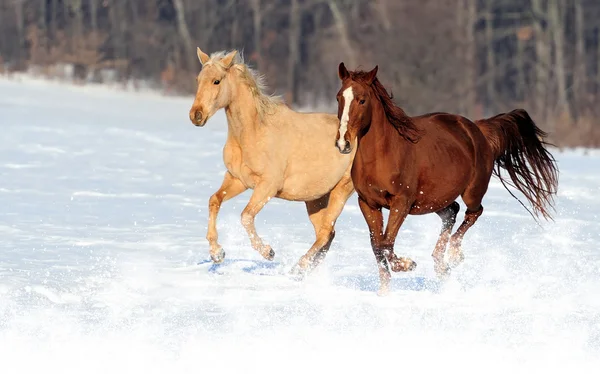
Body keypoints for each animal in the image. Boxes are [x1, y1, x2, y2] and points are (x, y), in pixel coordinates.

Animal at [189, 47, 356, 274]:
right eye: (198, 79)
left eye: (217, 81)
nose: (196, 115)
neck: (253, 132)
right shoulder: (237, 180)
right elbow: (214, 201)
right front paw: (217, 253)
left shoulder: (268, 186)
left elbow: (246, 216)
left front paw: (268, 252)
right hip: (316, 199)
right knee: (327, 235)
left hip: (342, 189)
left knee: (324, 233)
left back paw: (297, 269)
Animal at [332, 62, 556, 296]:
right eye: (339, 98)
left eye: (362, 100)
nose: (343, 143)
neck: (382, 155)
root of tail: (477, 129)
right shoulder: (368, 203)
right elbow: (378, 247)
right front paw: (384, 292)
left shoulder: (401, 202)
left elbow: (386, 244)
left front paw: (408, 264)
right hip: (434, 199)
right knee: (452, 212)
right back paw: (441, 265)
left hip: (471, 191)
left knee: (473, 212)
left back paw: (454, 255)